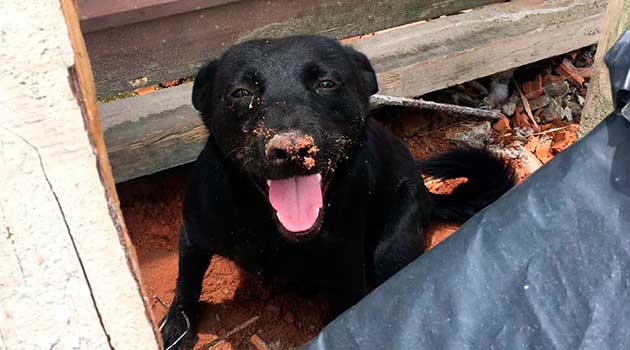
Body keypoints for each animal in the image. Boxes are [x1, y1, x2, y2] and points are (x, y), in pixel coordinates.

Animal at [160, 34, 516, 348]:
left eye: (327, 83)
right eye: (240, 92)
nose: (292, 149)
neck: (271, 230)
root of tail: (429, 198)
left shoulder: (347, 271)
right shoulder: (192, 237)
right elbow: (186, 284)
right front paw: (176, 328)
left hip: (389, 247)